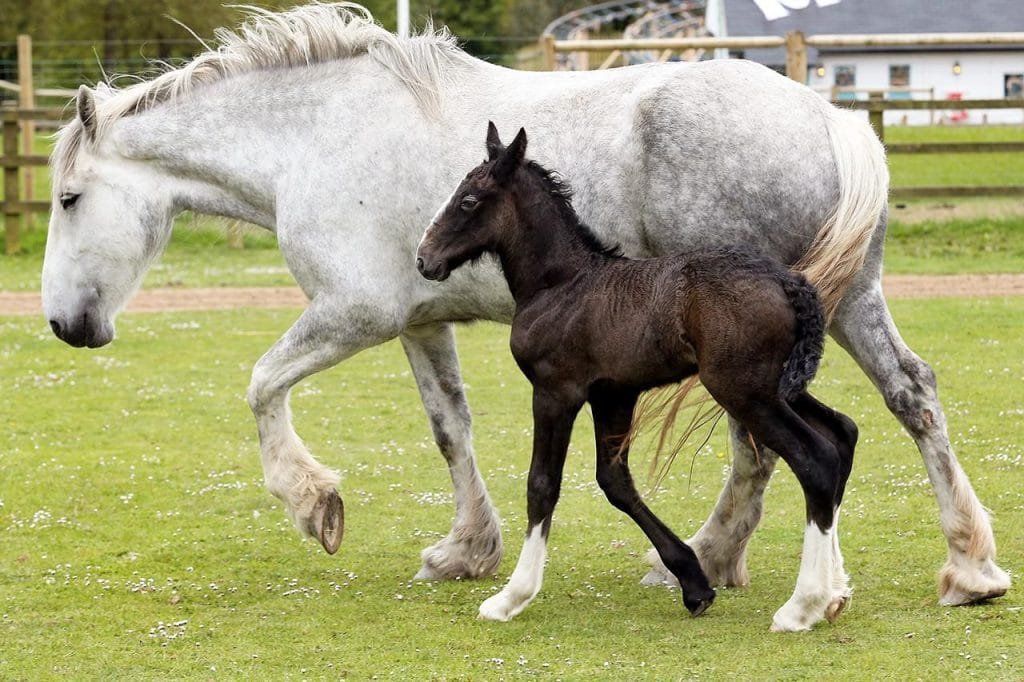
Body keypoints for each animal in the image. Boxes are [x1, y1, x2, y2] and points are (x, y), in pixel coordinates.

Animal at [416, 123, 857, 630]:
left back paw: (801, 606)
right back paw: (834, 593)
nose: (424, 259)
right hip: (778, 386)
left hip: (743, 391)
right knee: (843, 434)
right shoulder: (615, 395)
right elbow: (615, 481)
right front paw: (695, 585)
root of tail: (788, 280)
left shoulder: (555, 391)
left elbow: (542, 485)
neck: (561, 285)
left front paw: (511, 597)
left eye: (468, 200)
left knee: (816, 459)